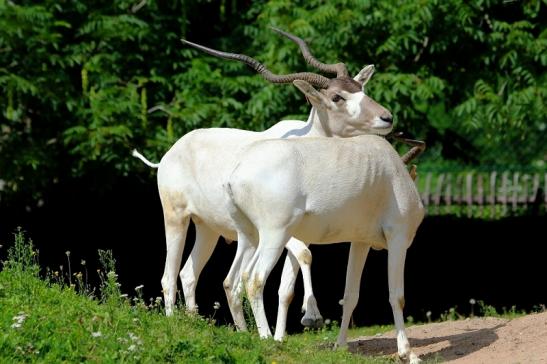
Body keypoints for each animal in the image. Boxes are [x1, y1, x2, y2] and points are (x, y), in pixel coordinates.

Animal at [135, 28, 396, 330]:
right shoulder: (282, 228)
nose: (386, 118)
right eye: (337, 98)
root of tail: (168, 155)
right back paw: (177, 325)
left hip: (207, 228)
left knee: (188, 274)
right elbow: (304, 256)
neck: (308, 140)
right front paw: (311, 316)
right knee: (169, 276)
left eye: (361, 89)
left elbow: (289, 281)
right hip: (176, 218)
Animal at [225, 134, 426, 364]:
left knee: (237, 279)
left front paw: (340, 346)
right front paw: (408, 354)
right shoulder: (398, 238)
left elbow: (350, 295)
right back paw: (267, 338)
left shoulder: (360, 242)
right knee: (255, 278)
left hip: (252, 236)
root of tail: (236, 174)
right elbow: (397, 297)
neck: (394, 173)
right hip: (275, 234)